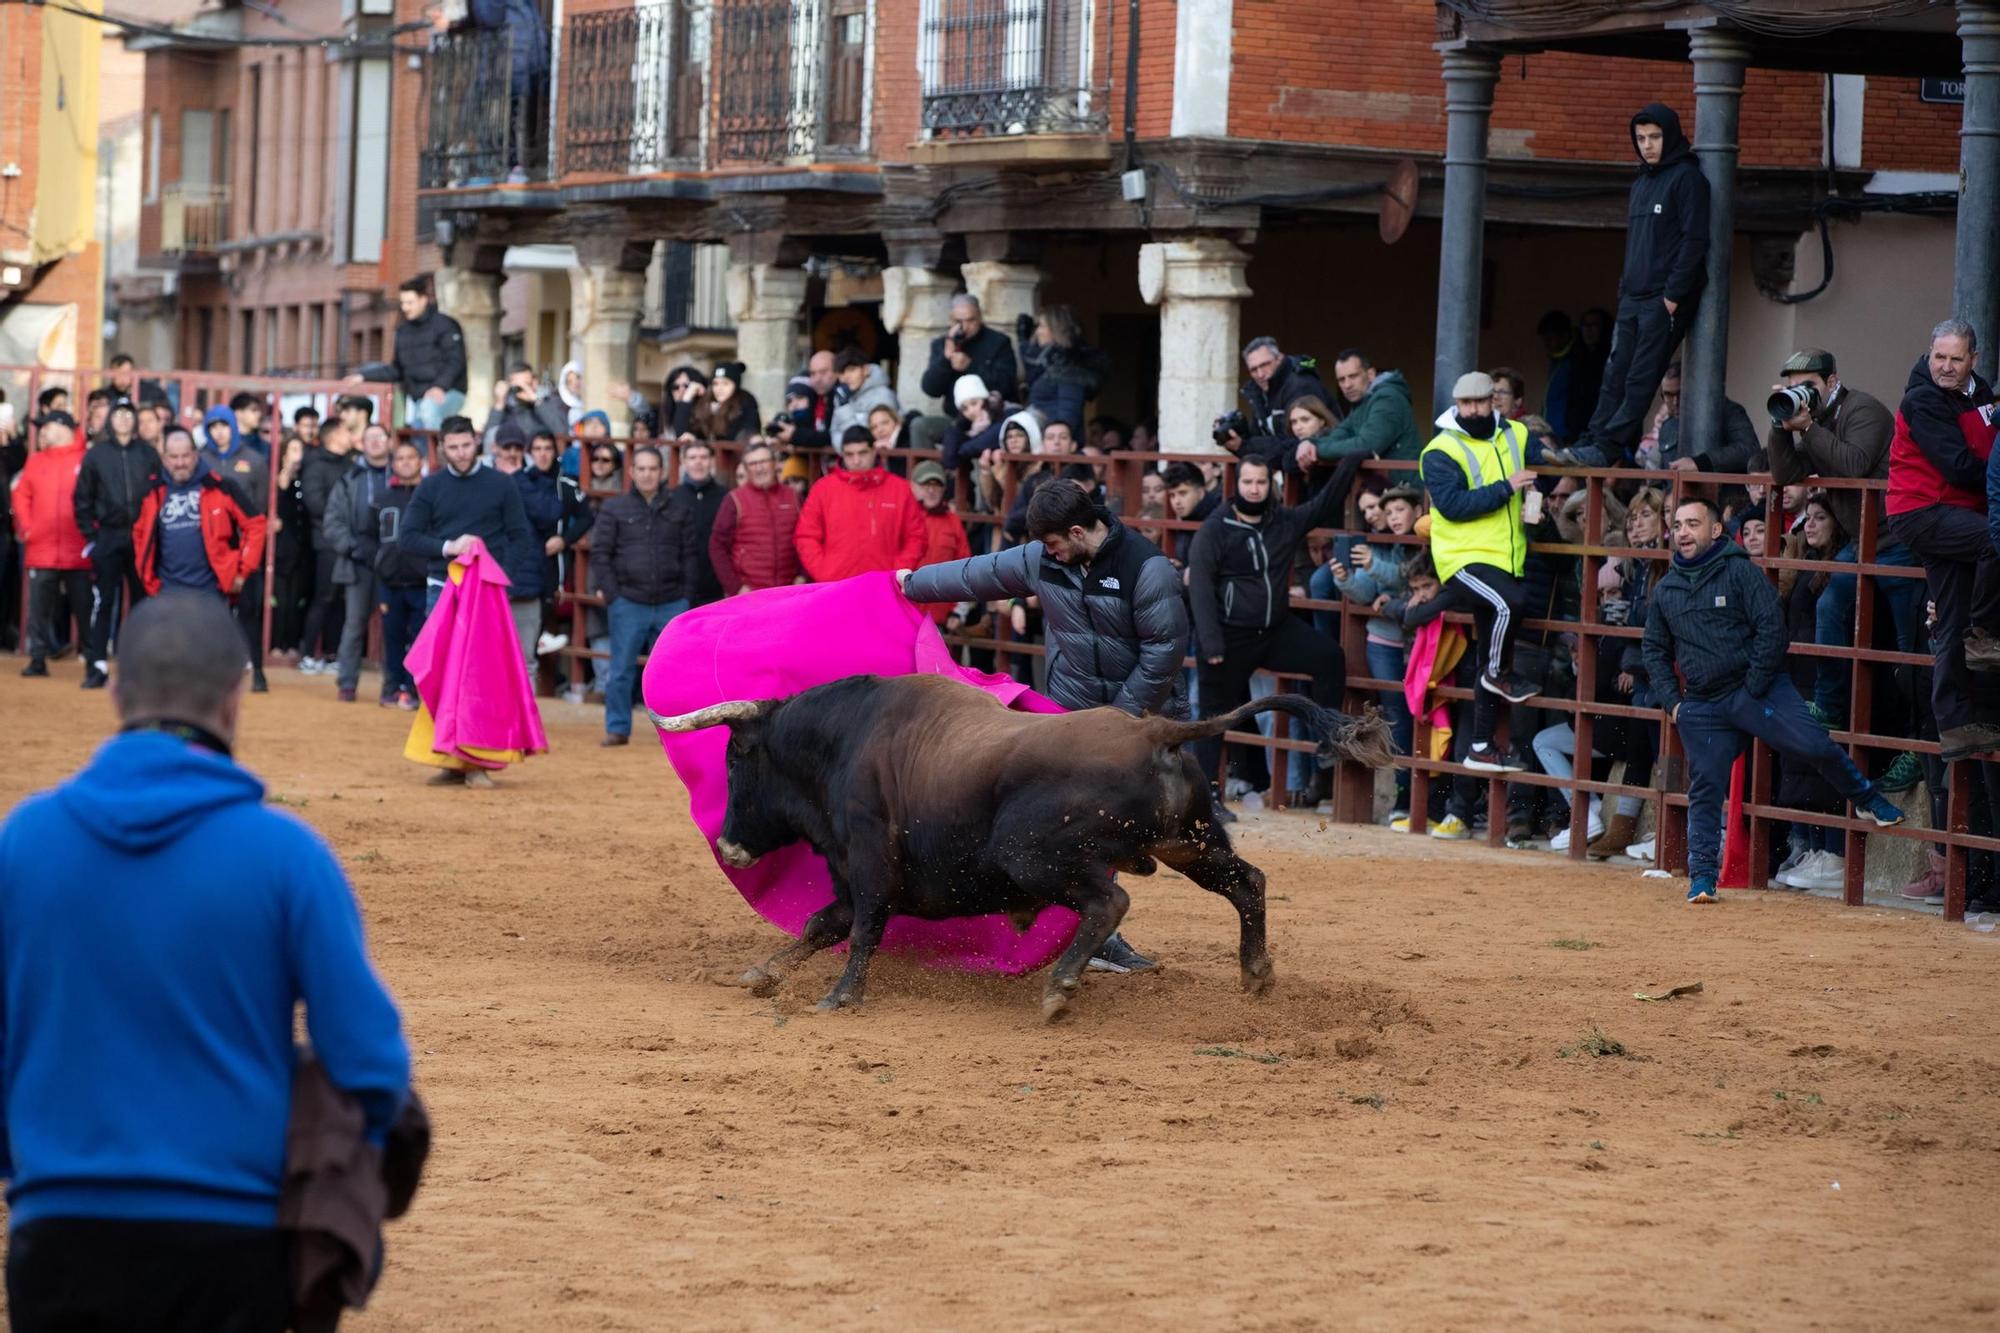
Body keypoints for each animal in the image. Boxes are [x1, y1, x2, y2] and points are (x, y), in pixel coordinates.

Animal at [656, 676, 1392, 1016]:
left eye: (736, 760)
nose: (730, 845)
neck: (843, 742)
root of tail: (1157, 729)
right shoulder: (850, 877)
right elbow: (820, 923)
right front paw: (764, 973)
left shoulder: (867, 866)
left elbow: (860, 928)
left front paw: (839, 997)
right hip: (1190, 843)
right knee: (1247, 882)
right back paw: (1255, 973)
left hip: (1032, 856)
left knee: (1109, 902)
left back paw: (1061, 985)